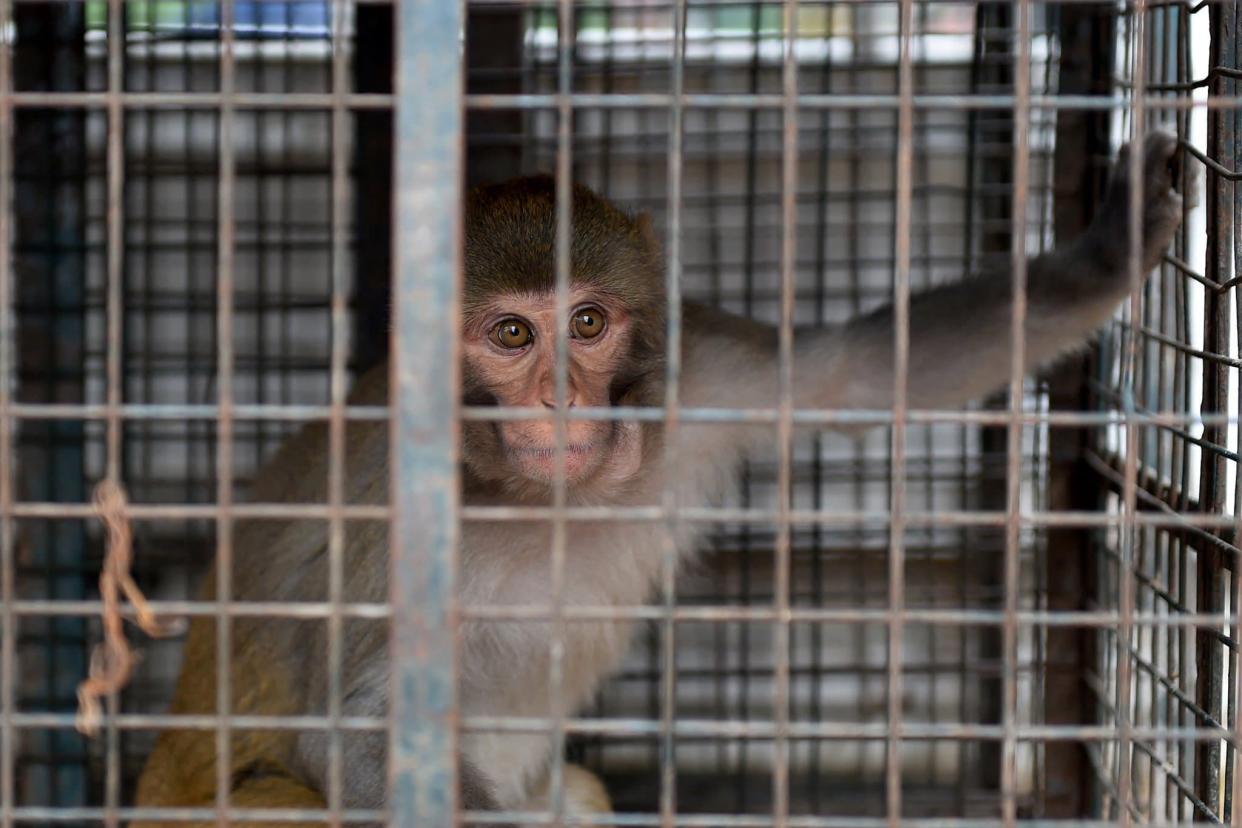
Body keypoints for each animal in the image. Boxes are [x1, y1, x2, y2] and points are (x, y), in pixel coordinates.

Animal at [133, 132, 1192, 824]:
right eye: (511, 334)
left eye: (589, 323)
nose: (563, 397)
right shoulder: (399, 509)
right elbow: (357, 734)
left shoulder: (701, 378)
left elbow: (857, 372)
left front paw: (1114, 246)